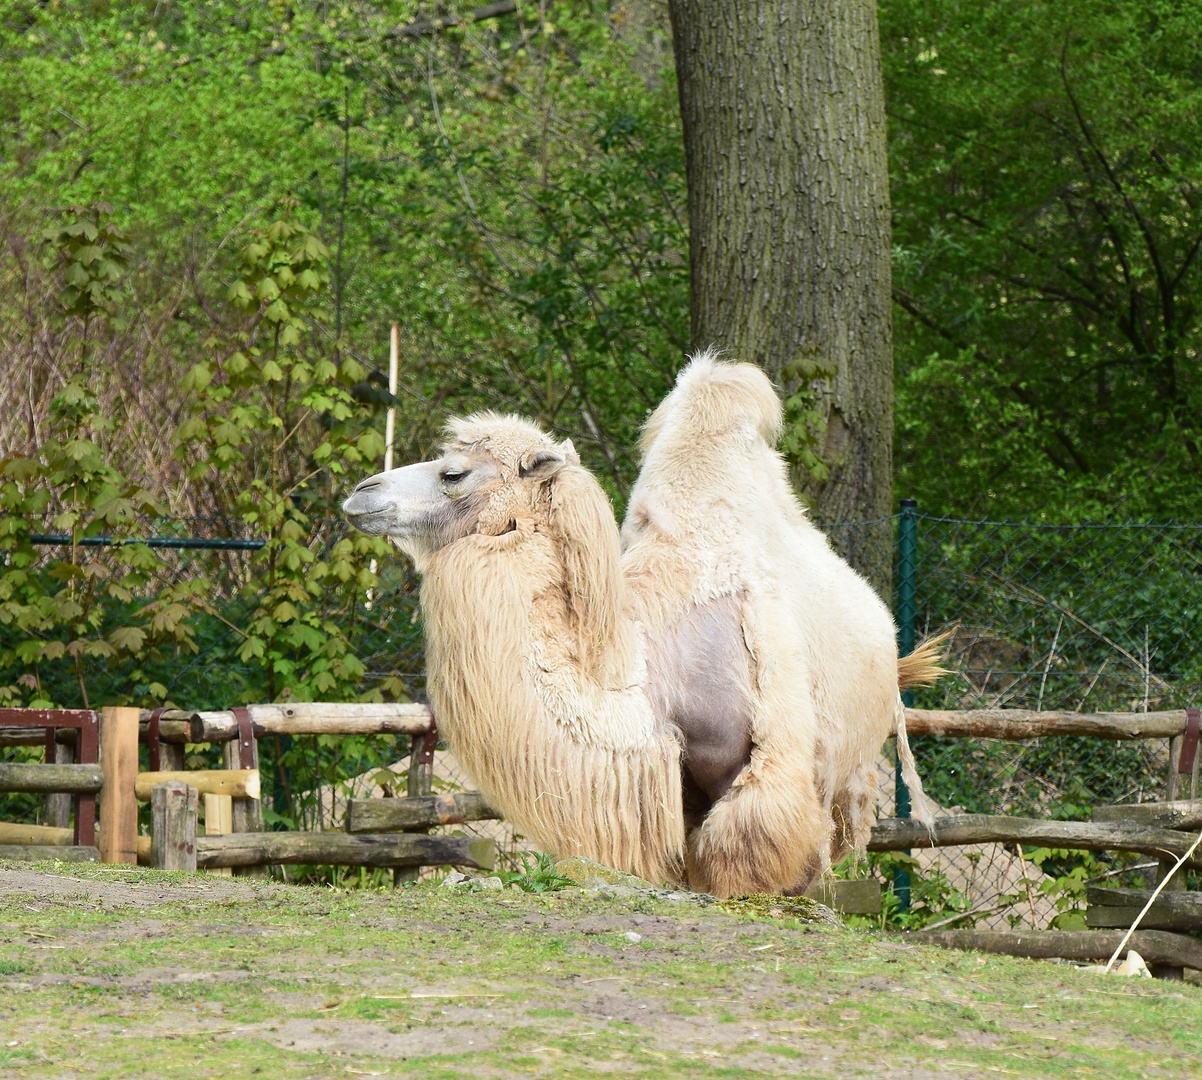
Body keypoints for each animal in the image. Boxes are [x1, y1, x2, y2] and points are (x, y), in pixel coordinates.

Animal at [341, 355, 937, 893]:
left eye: (453, 474)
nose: (360, 492)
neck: (648, 677)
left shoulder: (765, 767)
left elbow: (748, 857)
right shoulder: (681, 785)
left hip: (847, 758)